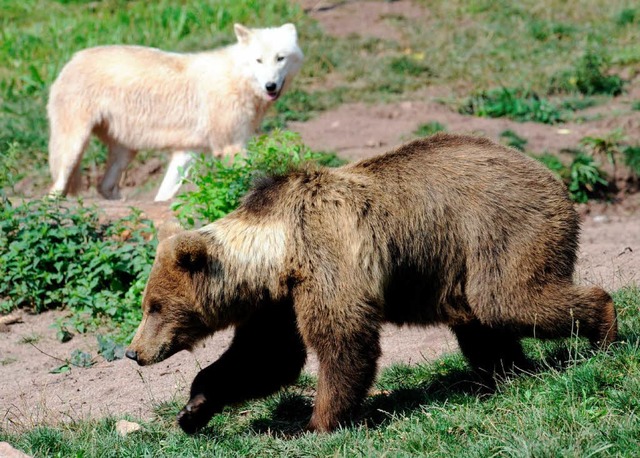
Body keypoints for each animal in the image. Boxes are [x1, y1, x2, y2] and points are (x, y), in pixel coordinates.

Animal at [47, 23, 302, 201]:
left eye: (280, 58)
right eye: (258, 61)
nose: (270, 86)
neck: (238, 79)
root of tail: (71, 60)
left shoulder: (188, 151)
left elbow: (164, 195)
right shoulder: (231, 147)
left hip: (125, 152)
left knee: (103, 186)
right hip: (74, 148)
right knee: (54, 191)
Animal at [124, 132, 616, 432]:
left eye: (154, 306)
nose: (134, 352)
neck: (277, 251)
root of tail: (550, 173)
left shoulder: (327, 259)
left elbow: (342, 339)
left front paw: (316, 423)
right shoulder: (279, 301)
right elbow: (264, 357)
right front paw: (193, 410)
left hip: (499, 230)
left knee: (509, 299)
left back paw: (604, 332)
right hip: (462, 260)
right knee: (481, 324)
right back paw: (506, 373)